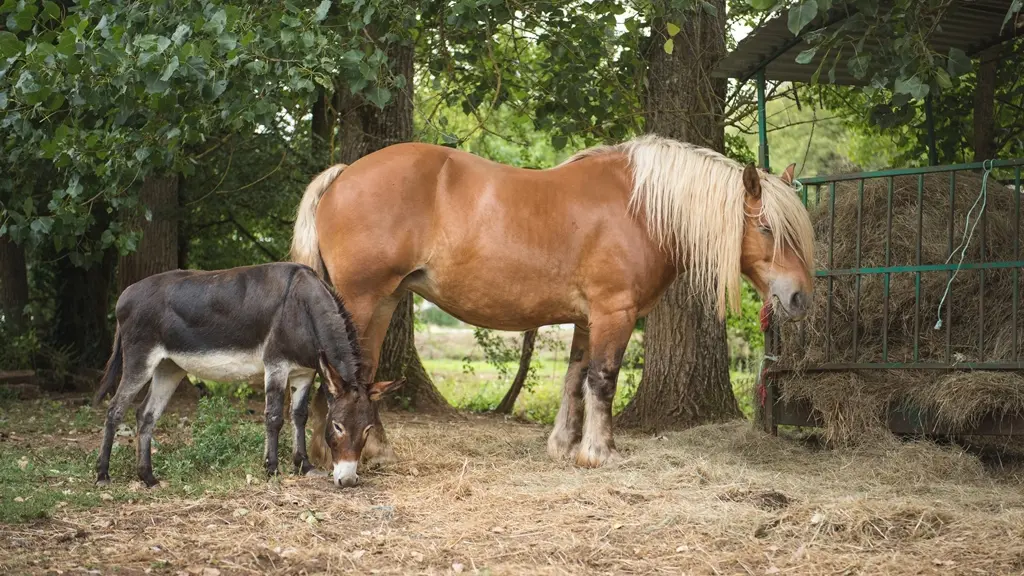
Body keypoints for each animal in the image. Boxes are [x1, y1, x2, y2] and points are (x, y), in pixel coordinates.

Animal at [290, 134, 815, 471]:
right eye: (767, 227)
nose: (799, 298)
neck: (640, 209)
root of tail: (344, 175)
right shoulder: (614, 313)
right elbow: (602, 381)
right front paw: (598, 453)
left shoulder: (585, 319)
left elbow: (574, 379)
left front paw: (563, 445)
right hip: (361, 301)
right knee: (338, 375)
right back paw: (330, 453)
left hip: (384, 303)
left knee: (366, 373)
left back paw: (370, 450)